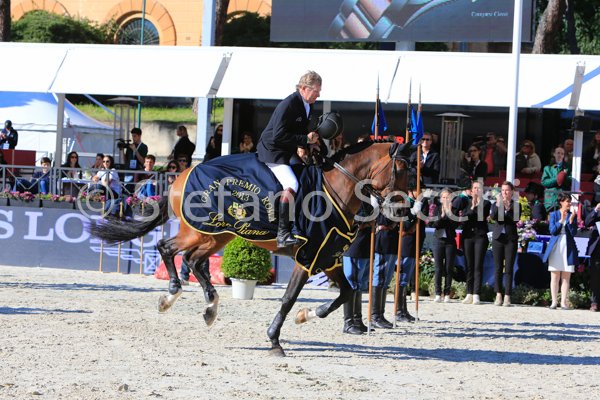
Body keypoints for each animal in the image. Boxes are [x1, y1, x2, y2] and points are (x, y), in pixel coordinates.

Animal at [89, 141, 410, 357]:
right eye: (402, 168)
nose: (403, 211)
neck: (336, 190)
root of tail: (182, 174)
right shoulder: (306, 257)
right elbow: (288, 298)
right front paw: (274, 340)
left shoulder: (327, 257)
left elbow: (346, 292)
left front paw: (308, 315)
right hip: (198, 231)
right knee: (167, 248)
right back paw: (171, 295)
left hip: (216, 236)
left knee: (194, 261)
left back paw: (209, 307)